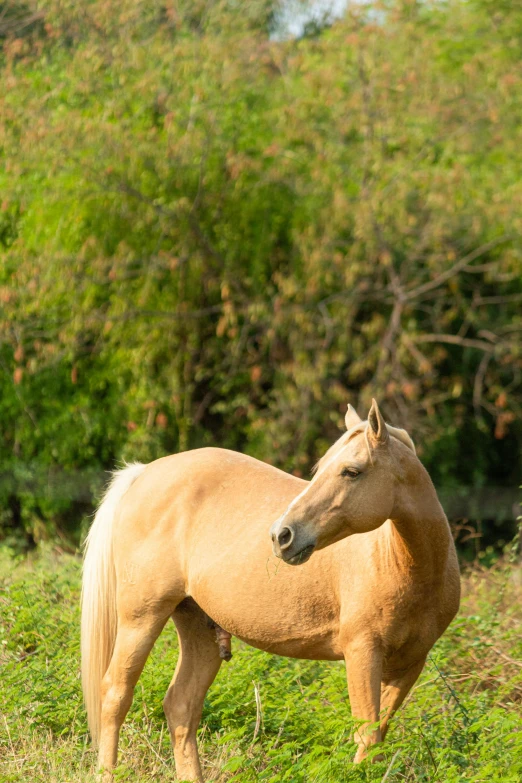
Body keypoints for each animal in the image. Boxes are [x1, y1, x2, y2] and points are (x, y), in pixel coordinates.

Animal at [79, 402, 458, 780]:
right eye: (320, 468)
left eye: (352, 471)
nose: (281, 535)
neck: (404, 564)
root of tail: (142, 473)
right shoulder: (362, 654)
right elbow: (367, 738)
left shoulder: (410, 665)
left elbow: (378, 736)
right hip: (142, 617)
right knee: (115, 694)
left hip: (198, 627)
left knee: (181, 706)